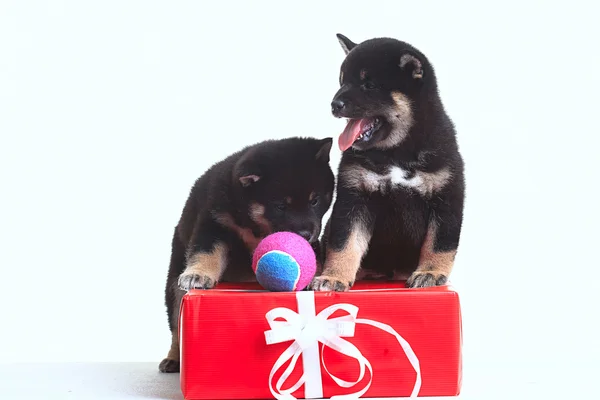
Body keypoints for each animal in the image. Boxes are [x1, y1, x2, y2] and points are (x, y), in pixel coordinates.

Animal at [158, 138, 338, 372]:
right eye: (280, 206)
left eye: (314, 200)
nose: (306, 235)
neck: (255, 225)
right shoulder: (215, 222)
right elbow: (206, 252)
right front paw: (198, 274)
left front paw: (317, 278)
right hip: (173, 281)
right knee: (175, 325)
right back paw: (173, 358)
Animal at [312, 34, 466, 290]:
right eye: (342, 82)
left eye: (369, 85)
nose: (334, 104)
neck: (397, 152)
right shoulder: (354, 198)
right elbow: (344, 244)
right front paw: (333, 277)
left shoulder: (446, 197)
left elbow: (440, 244)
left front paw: (431, 272)